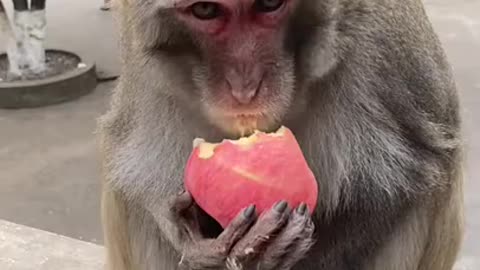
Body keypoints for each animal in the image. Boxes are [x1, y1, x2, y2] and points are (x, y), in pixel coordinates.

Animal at [95, 0, 464, 268]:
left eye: (269, 4)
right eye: (205, 10)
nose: (245, 86)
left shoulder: (386, 51)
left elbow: (413, 178)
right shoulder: (143, 62)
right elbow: (134, 171)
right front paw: (197, 247)